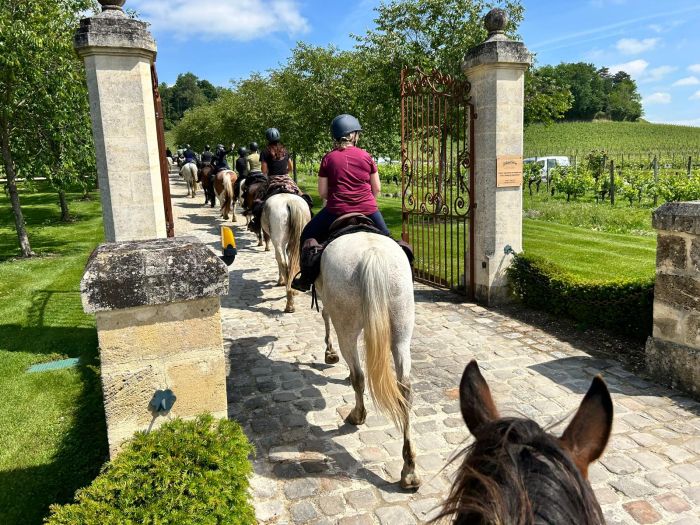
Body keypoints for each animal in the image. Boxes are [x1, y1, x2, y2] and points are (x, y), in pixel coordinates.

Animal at [318, 233, 422, 488]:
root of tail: (372, 255)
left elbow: (325, 315)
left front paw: (329, 352)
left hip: (346, 329)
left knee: (359, 375)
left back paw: (357, 414)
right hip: (402, 331)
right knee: (404, 389)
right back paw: (409, 469)